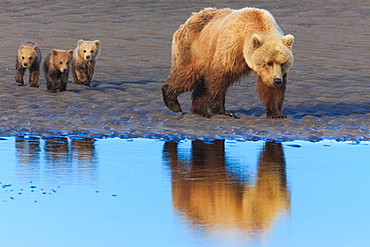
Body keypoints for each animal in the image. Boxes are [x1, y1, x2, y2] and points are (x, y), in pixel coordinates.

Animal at [162, 7, 294, 118]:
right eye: (269, 62)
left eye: (283, 63)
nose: (277, 80)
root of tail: (187, 22)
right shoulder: (230, 48)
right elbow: (218, 77)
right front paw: (224, 112)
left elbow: (272, 90)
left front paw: (276, 113)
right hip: (194, 50)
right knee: (189, 75)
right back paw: (173, 103)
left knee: (201, 83)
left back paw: (200, 111)